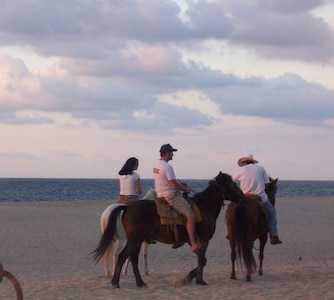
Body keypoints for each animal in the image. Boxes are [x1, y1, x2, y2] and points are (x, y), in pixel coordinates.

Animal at [92, 172, 243, 290]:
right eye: (234, 184)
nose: (242, 196)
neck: (204, 207)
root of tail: (127, 207)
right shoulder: (203, 240)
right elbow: (202, 260)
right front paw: (197, 280)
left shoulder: (194, 241)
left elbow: (202, 260)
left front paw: (190, 278)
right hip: (135, 239)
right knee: (122, 256)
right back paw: (115, 282)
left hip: (137, 240)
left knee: (133, 258)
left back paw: (140, 282)